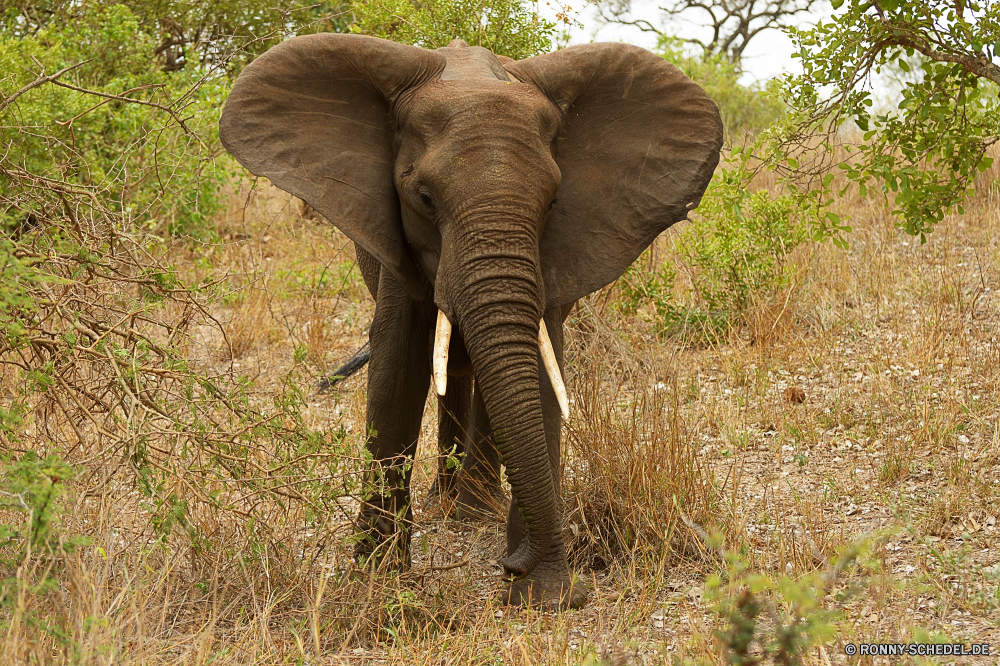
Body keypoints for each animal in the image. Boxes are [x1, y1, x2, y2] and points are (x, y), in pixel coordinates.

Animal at [219, 35, 724, 608]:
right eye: (423, 199)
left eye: (554, 201)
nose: (512, 565)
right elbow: (398, 366)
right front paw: (379, 581)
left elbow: (542, 370)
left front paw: (544, 593)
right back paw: (452, 506)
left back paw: (473, 510)